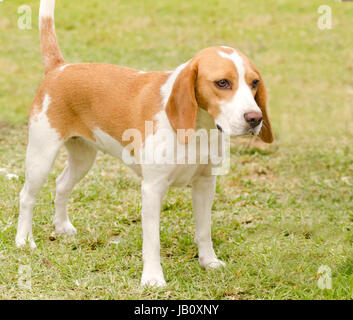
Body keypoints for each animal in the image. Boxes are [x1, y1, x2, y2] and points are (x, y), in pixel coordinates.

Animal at [15, 0, 272, 286]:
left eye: (254, 83)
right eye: (223, 83)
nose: (255, 118)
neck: (198, 129)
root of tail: (60, 67)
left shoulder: (206, 184)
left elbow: (204, 230)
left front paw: (209, 262)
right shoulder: (152, 189)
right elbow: (152, 241)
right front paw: (152, 279)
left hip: (83, 158)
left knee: (61, 185)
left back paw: (61, 227)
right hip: (41, 156)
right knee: (26, 196)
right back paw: (23, 240)